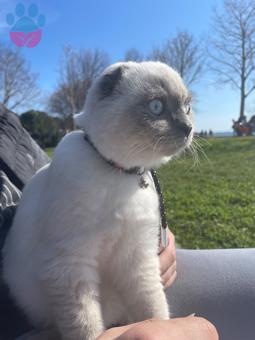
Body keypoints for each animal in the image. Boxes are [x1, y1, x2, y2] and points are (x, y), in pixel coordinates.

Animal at [2, 61, 193, 340]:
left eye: (187, 107)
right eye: (156, 107)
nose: (188, 128)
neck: (121, 173)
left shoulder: (137, 257)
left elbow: (153, 307)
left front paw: (164, 326)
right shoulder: (71, 263)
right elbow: (86, 325)